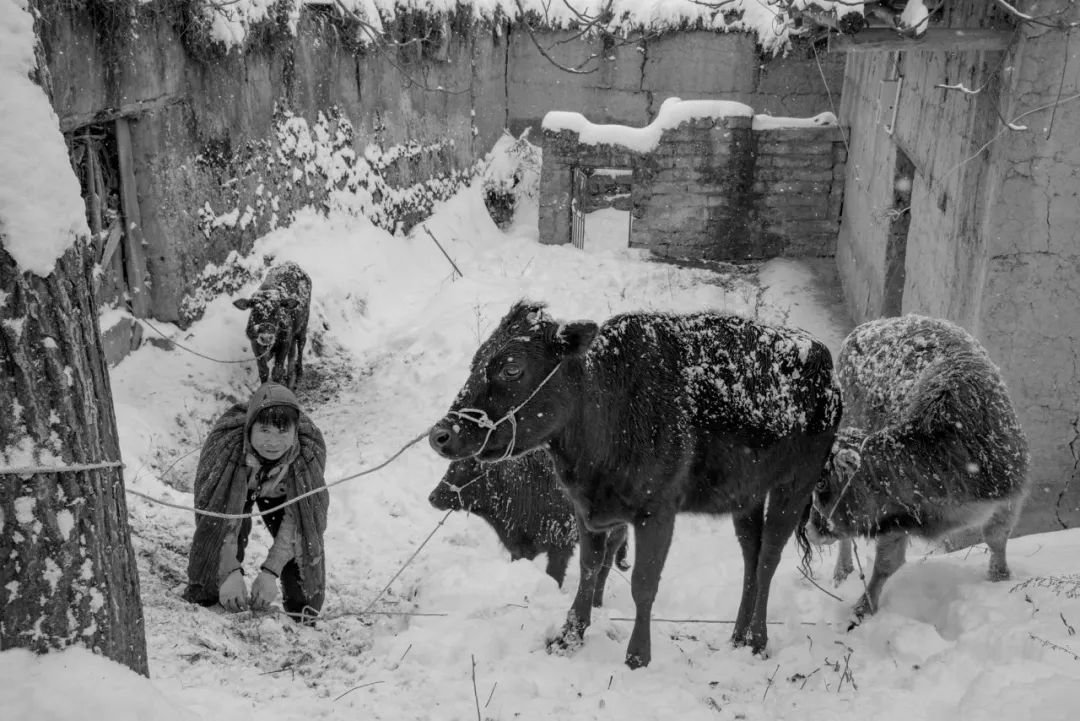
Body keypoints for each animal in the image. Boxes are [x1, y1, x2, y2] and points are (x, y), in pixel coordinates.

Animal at [429, 453, 630, 600]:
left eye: (460, 468)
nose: (432, 497)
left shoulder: (561, 546)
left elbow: (555, 576)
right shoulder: (520, 549)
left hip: (613, 538)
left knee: (602, 571)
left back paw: (596, 603)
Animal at [803, 315, 1028, 626]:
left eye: (822, 485)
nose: (810, 530)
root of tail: (871, 326)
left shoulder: (1009, 496)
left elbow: (996, 538)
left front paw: (1000, 579)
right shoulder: (896, 515)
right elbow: (886, 564)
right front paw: (864, 607)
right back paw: (842, 572)